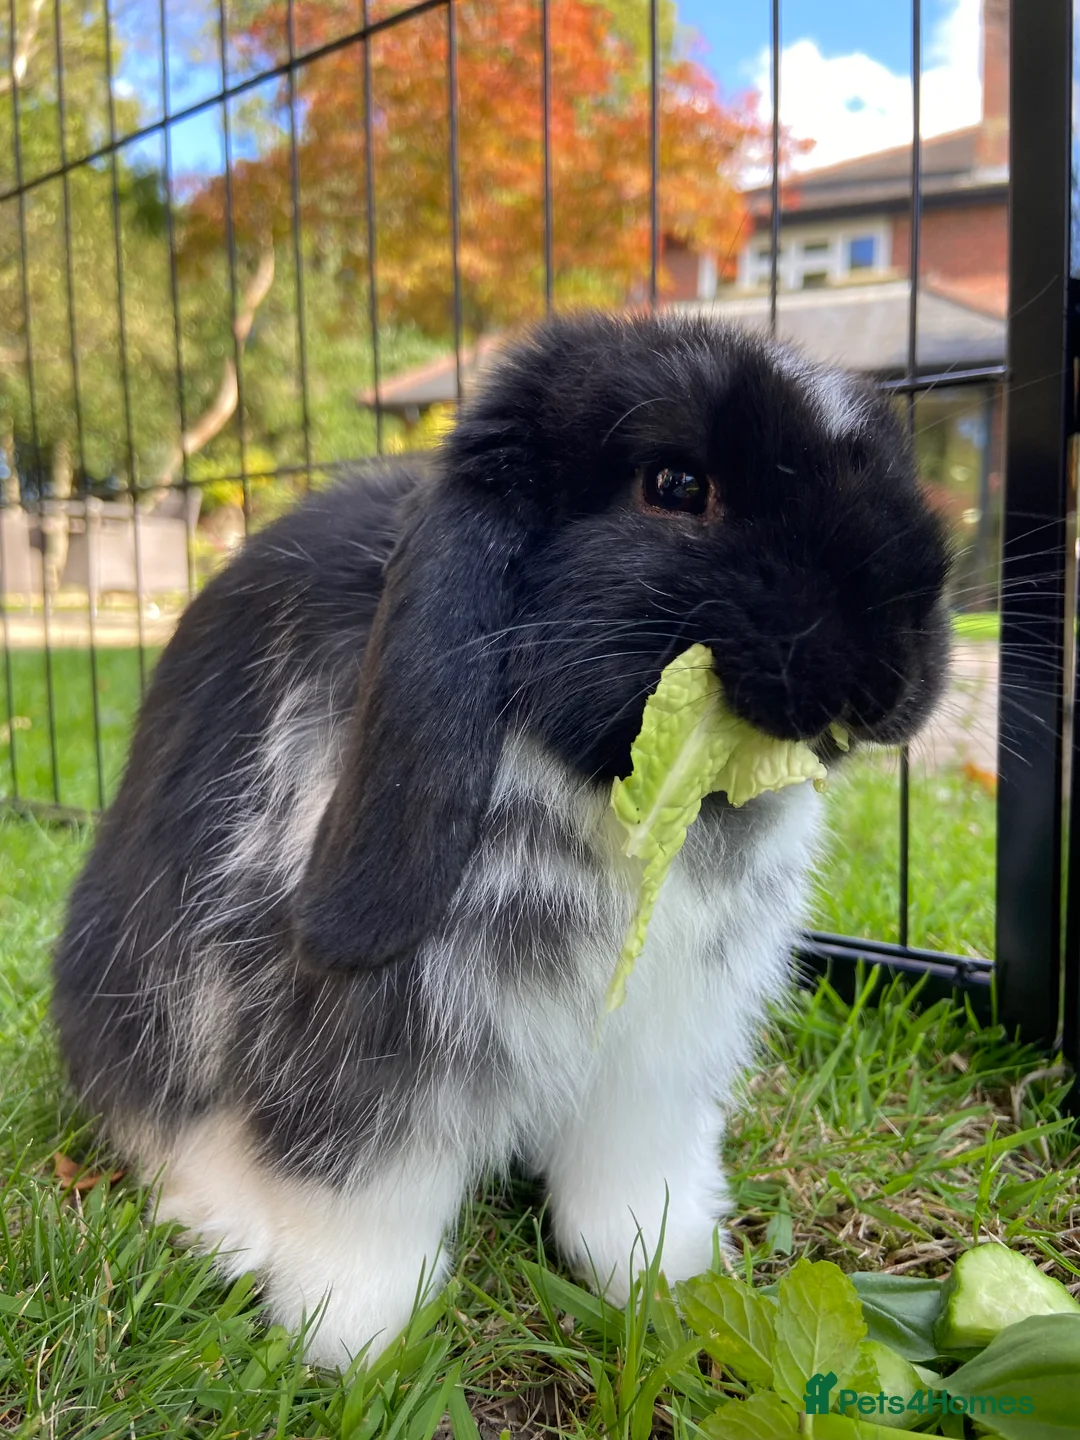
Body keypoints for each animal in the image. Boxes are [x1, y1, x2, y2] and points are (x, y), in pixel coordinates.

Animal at [53, 311, 951, 1369]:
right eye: (675, 485)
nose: (895, 670)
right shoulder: (369, 1050)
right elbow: (360, 1187)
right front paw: (356, 1336)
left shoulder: (652, 1057)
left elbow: (629, 1180)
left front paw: (663, 1273)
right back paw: (224, 1224)